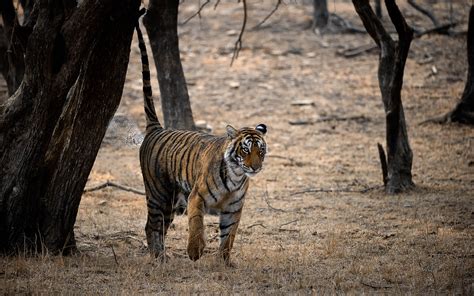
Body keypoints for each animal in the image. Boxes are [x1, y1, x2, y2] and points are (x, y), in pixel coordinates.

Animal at [136, 22, 266, 264]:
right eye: (245, 150)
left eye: (260, 151)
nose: (255, 167)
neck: (236, 176)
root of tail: (156, 129)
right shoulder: (196, 197)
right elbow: (196, 225)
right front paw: (195, 252)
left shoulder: (233, 209)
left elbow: (229, 236)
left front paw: (225, 261)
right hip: (159, 194)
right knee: (151, 225)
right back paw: (158, 258)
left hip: (172, 203)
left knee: (160, 227)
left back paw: (161, 255)